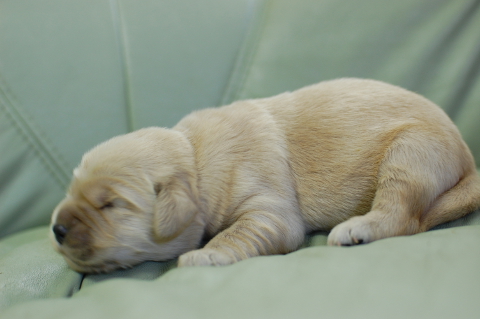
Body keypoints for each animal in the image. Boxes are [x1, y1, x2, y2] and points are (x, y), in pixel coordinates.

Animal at [49, 79, 480, 274]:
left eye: (110, 205)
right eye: (71, 190)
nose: (56, 228)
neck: (195, 157)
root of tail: (467, 158)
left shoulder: (268, 205)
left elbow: (240, 232)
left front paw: (206, 253)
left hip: (411, 152)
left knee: (403, 214)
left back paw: (357, 229)